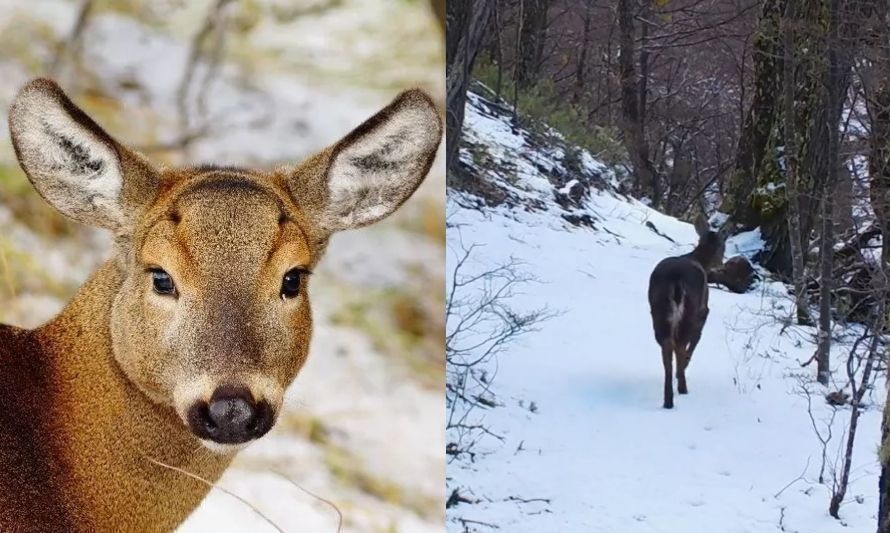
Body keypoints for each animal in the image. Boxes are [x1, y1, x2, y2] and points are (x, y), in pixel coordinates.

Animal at [644, 214, 728, 410]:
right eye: (723, 245)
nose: (722, 265)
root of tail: (676, 280)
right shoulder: (704, 311)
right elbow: (697, 339)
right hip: (691, 310)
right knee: (681, 344)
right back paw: (682, 387)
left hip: (658, 310)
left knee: (667, 346)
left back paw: (668, 399)